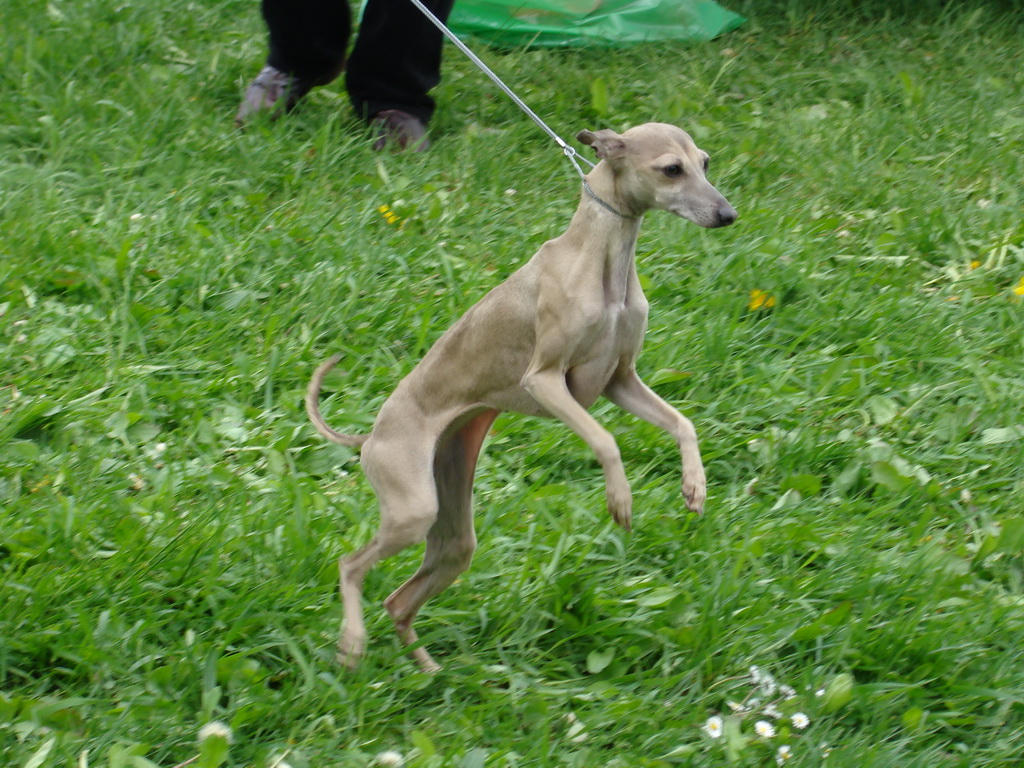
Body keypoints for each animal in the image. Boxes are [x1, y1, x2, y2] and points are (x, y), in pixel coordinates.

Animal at [305, 121, 737, 671]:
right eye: (671, 169)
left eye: (704, 162)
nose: (728, 215)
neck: (601, 257)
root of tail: (371, 436)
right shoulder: (547, 381)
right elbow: (606, 441)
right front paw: (620, 500)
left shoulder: (620, 380)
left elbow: (685, 423)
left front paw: (694, 486)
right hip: (412, 510)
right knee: (350, 565)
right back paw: (352, 644)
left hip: (453, 532)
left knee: (399, 601)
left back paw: (429, 672)